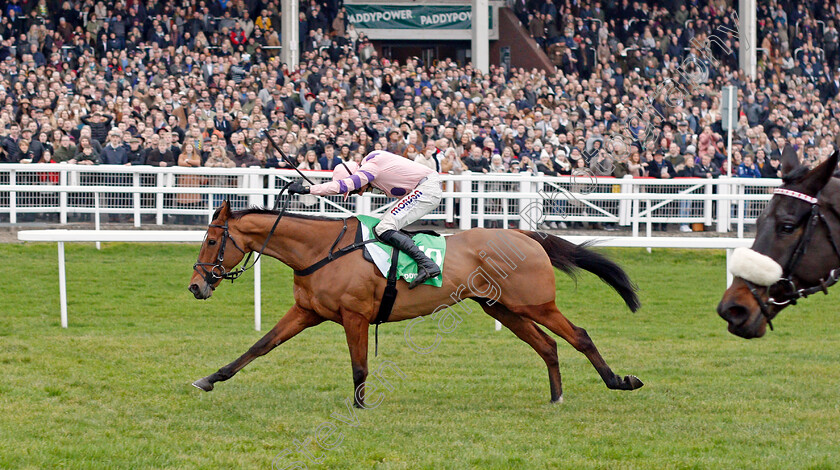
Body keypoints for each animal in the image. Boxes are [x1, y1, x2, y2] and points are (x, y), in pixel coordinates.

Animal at [187, 200, 640, 406]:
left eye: (210, 240)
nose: (195, 286)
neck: (321, 250)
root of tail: (524, 235)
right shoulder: (307, 312)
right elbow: (258, 347)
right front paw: (209, 378)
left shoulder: (354, 315)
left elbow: (359, 366)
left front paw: (359, 406)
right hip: (502, 308)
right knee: (547, 346)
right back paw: (556, 397)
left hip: (536, 304)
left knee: (579, 336)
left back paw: (620, 381)